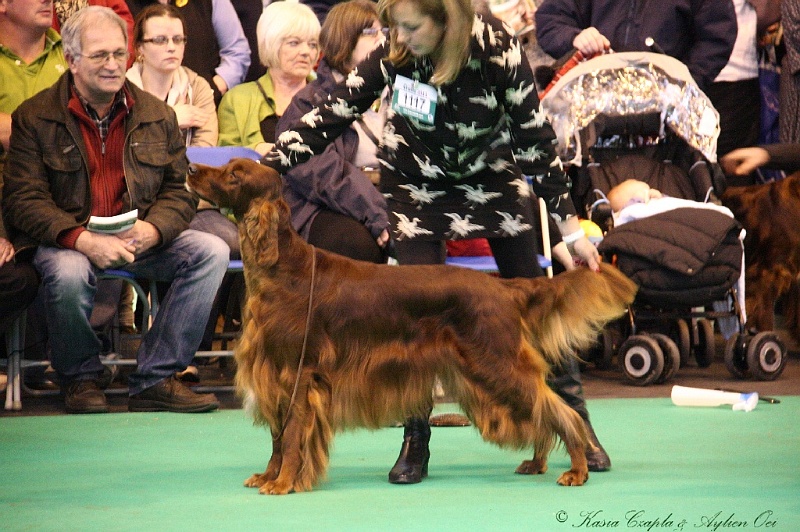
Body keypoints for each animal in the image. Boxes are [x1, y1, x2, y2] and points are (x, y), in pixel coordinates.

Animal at [188, 159, 636, 494]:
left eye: (234, 174)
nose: (191, 168)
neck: (284, 268)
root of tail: (504, 287)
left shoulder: (300, 373)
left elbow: (293, 433)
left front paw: (283, 483)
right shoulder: (274, 373)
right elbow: (277, 437)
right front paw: (269, 474)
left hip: (497, 364)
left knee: (561, 410)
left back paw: (578, 468)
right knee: (542, 410)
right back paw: (538, 461)